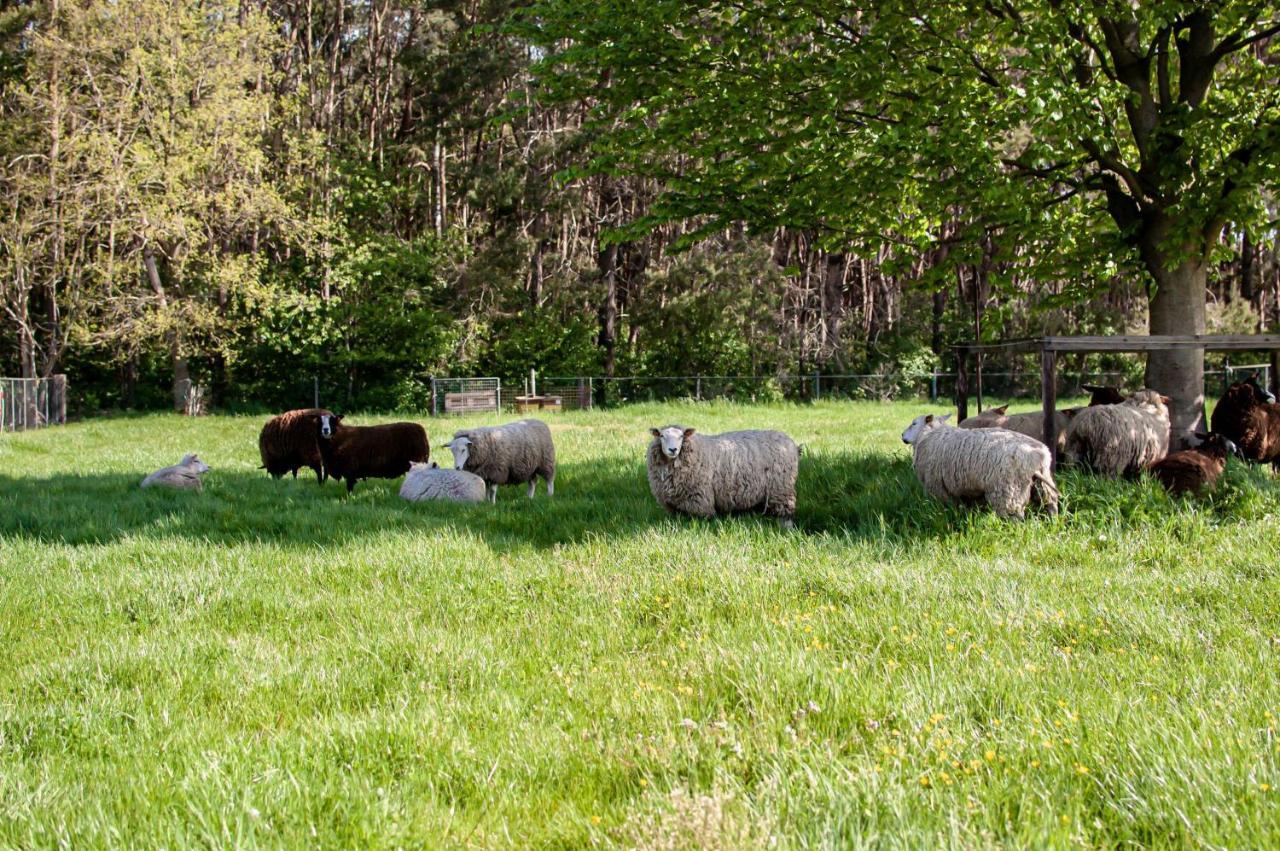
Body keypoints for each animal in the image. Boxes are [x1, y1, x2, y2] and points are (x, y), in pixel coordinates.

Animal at [650, 424, 798, 524]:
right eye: (662, 436)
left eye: (681, 436)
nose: (673, 449)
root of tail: (792, 444)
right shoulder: (672, 502)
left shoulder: (699, 498)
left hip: (781, 489)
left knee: (786, 511)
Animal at [896, 412, 1054, 516]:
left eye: (914, 423)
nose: (902, 435)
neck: (929, 435)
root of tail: (1039, 456)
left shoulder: (937, 486)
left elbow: (946, 506)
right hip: (1042, 484)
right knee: (1051, 503)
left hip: (1007, 489)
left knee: (1014, 515)